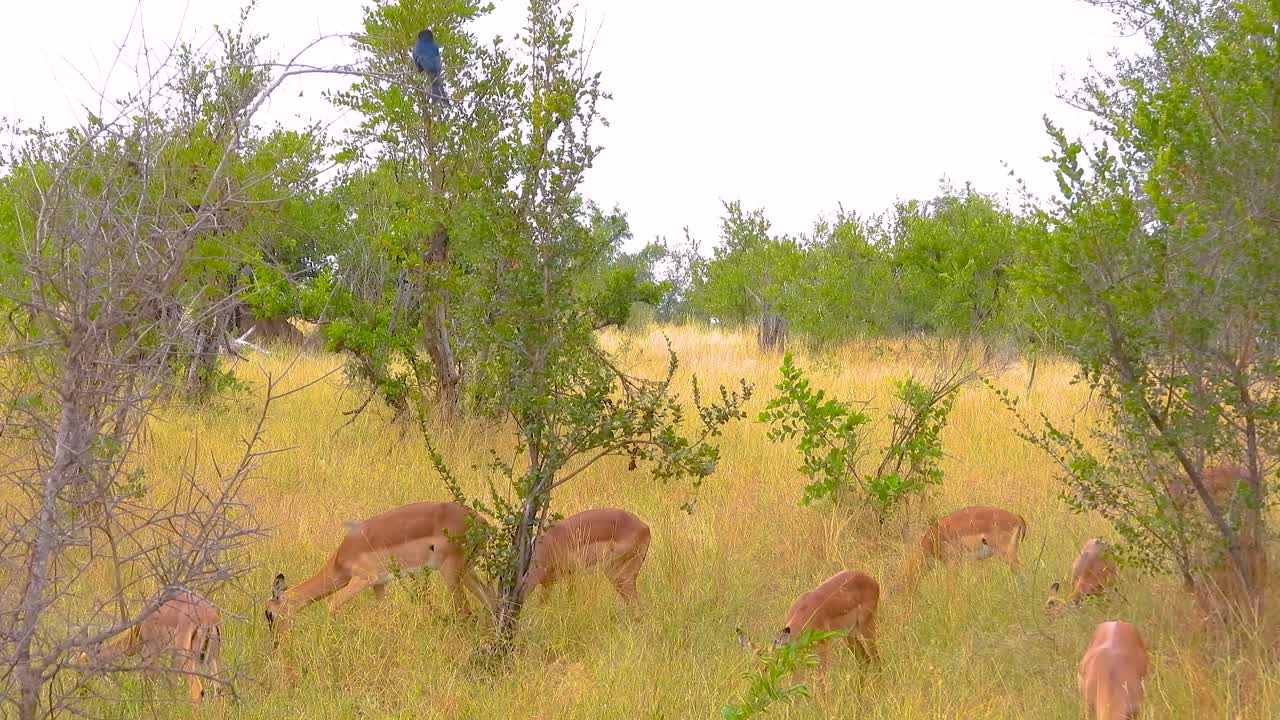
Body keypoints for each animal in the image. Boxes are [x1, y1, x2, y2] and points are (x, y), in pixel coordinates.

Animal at [83, 591, 223, 720]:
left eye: (85, 664)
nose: (83, 690)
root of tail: (208, 616)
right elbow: (172, 684)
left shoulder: (151, 652)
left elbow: (147, 680)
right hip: (212, 659)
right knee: (218, 689)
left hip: (186, 660)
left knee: (197, 691)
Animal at [265, 501, 495, 638]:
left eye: (269, 614)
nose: (276, 641)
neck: (341, 559)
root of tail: (481, 521)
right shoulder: (379, 584)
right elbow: (383, 613)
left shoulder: (362, 580)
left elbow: (332, 605)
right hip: (467, 571)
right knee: (491, 598)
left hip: (451, 573)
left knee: (465, 611)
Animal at [738, 570, 880, 669]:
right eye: (752, 666)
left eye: (767, 667)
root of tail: (872, 580)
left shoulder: (823, 648)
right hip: (849, 634)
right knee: (864, 660)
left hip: (867, 627)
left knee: (876, 660)